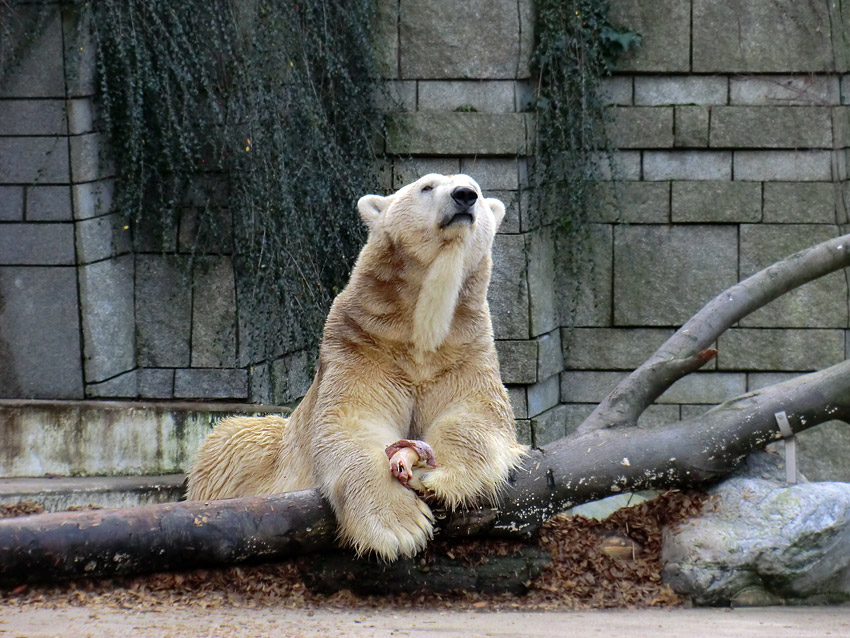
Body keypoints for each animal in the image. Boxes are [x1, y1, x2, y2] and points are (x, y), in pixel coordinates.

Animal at [187, 174, 524, 560]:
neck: (419, 337)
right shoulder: (362, 346)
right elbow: (351, 423)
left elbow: (475, 416)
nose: (464, 196)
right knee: (233, 436)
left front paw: (437, 476)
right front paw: (399, 526)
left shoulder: (462, 351)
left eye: (478, 191)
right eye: (426, 186)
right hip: (240, 456)